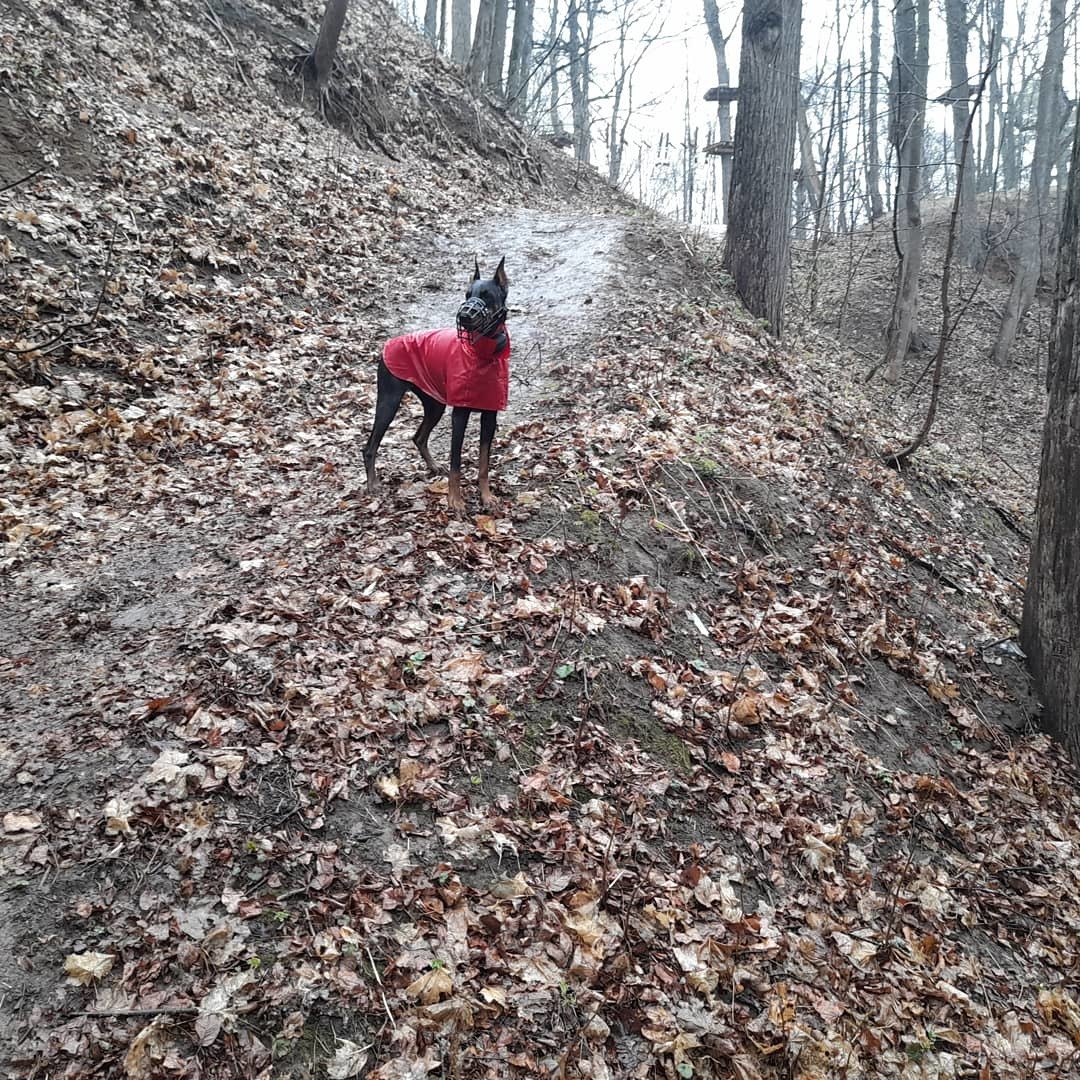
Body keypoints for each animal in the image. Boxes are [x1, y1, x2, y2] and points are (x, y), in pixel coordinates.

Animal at [362, 260, 509, 514]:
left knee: (419, 437)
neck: (484, 355)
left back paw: (432, 466)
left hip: (434, 404)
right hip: (388, 402)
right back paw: (373, 484)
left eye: (487, 296)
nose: (464, 314)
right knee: (370, 447)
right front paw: (455, 501)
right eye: (467, 294)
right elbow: (456, 463)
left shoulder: (490, 416)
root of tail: (388, 344)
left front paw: (486, 497)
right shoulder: (459, 415)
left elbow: (483, 463)